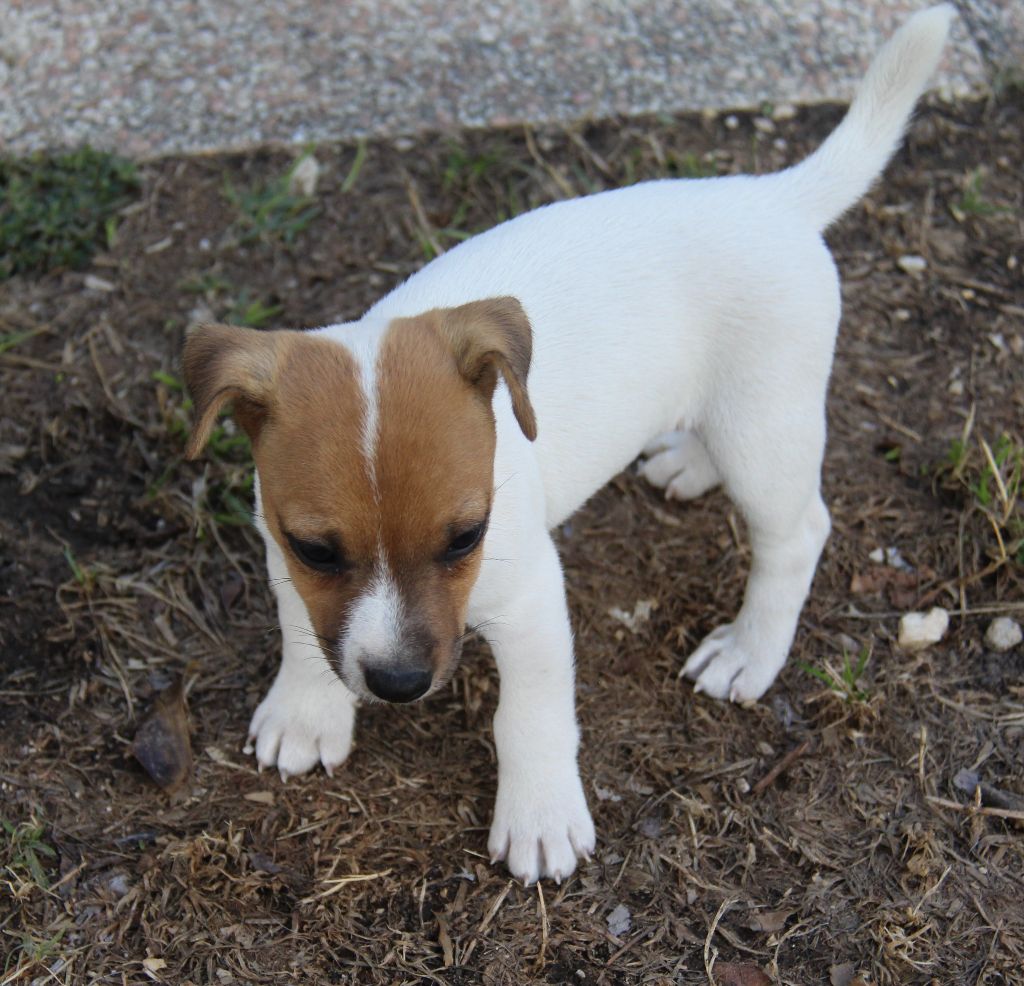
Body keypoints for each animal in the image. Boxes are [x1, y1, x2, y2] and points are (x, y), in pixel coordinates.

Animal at [182, 3, 950, 884]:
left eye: (466, 537)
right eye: (317, 549)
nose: (402, 683)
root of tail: (774, 199)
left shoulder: (531, 603)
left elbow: (531, 716)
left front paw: (540, 815)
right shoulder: (279, 546)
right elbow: (303, 632)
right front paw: (308, 710)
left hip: (767, 424)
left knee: (797, 535)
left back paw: (750, 651)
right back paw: (687, 461)